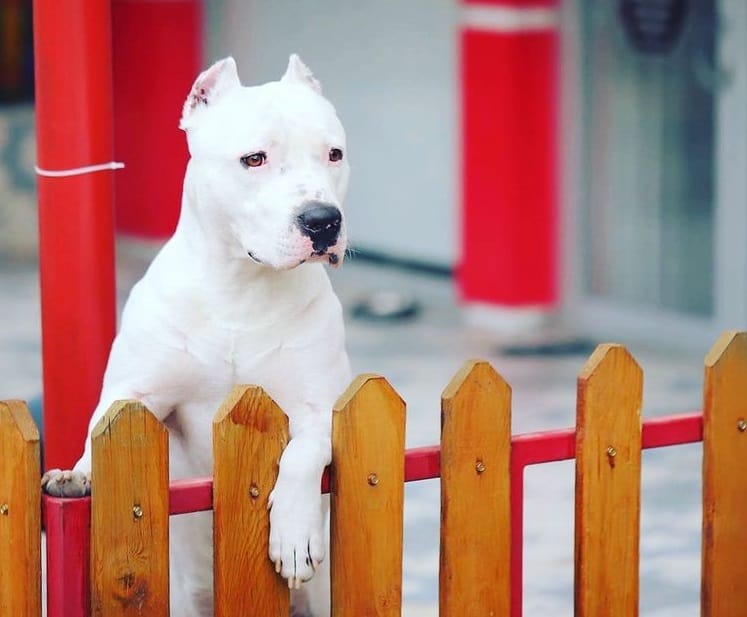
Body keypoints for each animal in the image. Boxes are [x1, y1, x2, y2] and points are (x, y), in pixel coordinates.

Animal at [42, 55, 352, 612]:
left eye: (333, 154)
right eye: (254, 159)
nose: (323, 220)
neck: (241, 287)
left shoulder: (320, 409)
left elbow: (301, 456)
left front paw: (294, 535)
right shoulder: (135, 392)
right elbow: (103, 430)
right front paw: (78, 472)